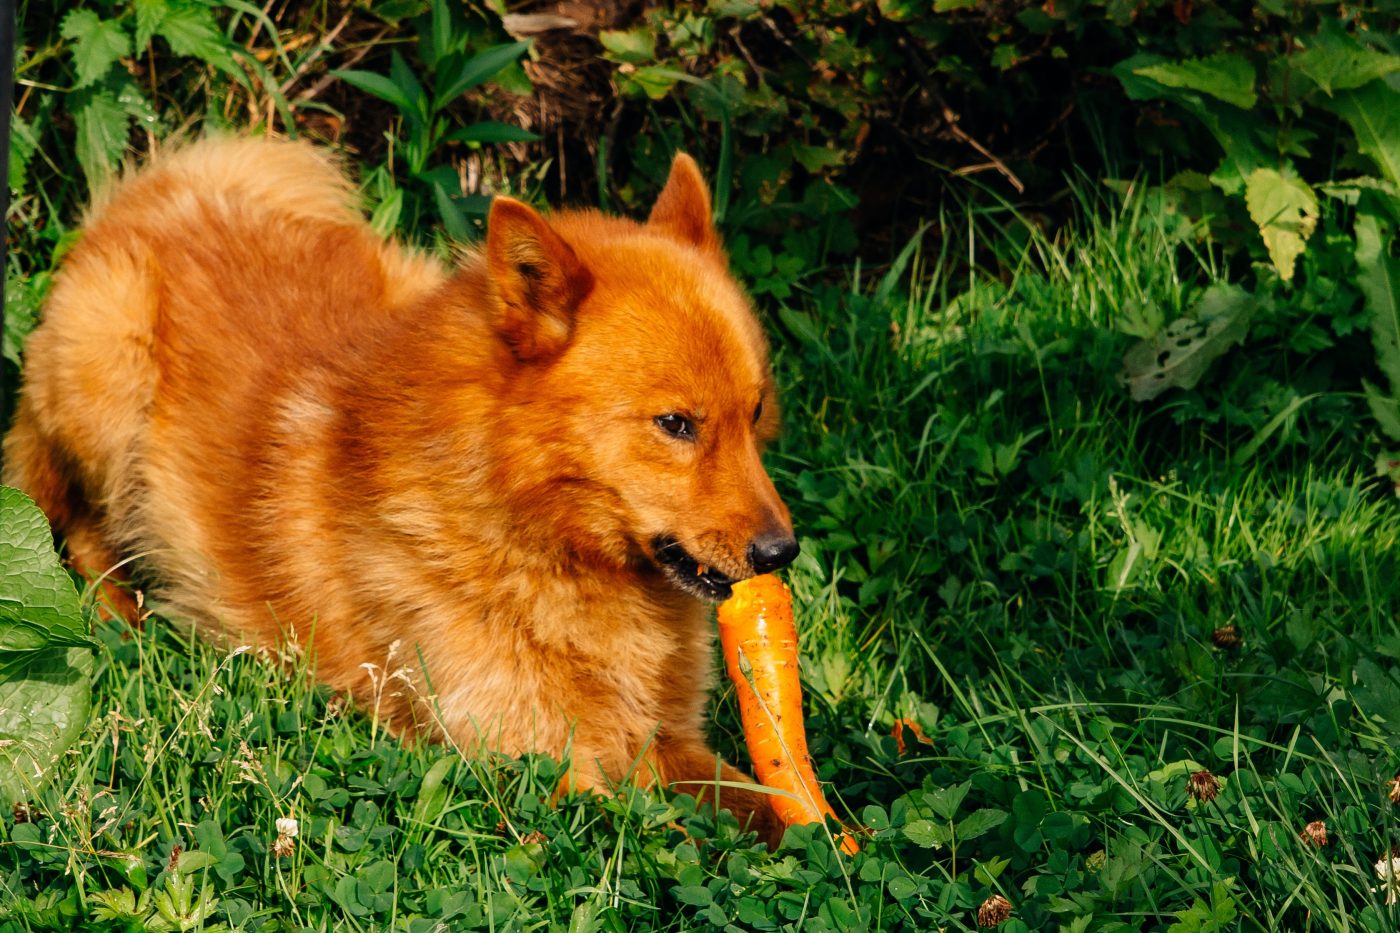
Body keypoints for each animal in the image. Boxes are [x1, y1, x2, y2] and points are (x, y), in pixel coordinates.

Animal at [2, 136, 800, 834]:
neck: (527, 533)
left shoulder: (672, 739)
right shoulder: (530, 766)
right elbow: (664, 836)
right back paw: (121, 623)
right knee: (80, 530)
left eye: (755, 409)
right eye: (675, 424)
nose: (781, 553)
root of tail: (168, 188)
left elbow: (776, 806)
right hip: (106, 377)